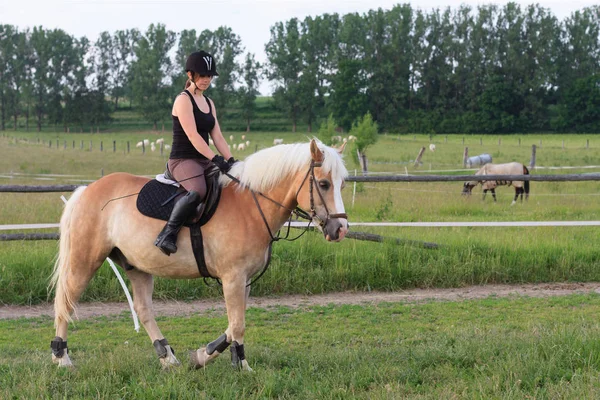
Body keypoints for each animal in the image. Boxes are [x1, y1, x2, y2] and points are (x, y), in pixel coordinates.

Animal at [49, 139, 350, 370]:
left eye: (342, 184)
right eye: (324, 184)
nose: (341, 229)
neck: (251, 205)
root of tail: (87, 190)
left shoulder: (244, 281)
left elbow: (233, 323)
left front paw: (203, 356)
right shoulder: (232, 277)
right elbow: (238, 324)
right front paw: (242, 366)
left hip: (137, 266)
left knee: (144, 311)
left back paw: (168, 358)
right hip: (84, 261)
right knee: (65, 303)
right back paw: (62, 358)